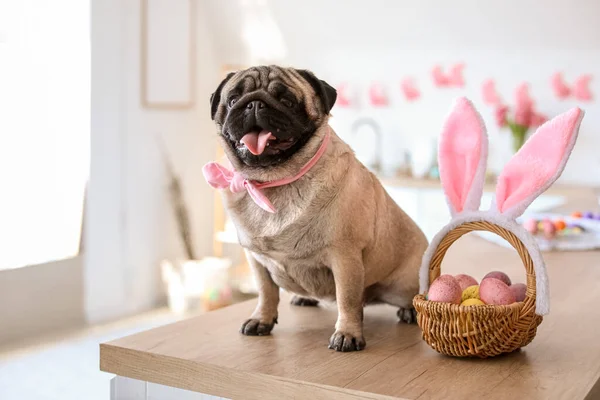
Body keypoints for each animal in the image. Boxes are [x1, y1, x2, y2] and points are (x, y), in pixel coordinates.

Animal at [209, 65, 428, 350]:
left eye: (288, 101)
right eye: (233, 100)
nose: (254, 104)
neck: (274, 182)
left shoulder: (344, 256)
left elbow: (347, 299)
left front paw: (347, 334)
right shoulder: (256, 260)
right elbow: (266, 292)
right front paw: (261, 319)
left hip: (402, 285)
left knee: (409, 295)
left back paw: (410, 310)